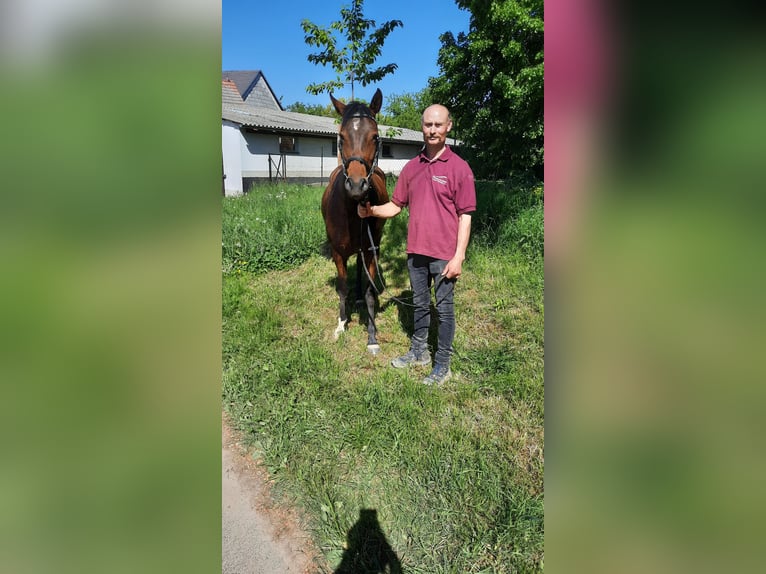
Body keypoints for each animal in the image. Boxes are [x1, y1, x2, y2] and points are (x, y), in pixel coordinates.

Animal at [320, 89, 390, 356]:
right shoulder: (337, 252)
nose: (358, 186)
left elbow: (371, 291)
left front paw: (371, 336)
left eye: (375, 136)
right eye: (341, 137)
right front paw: (341, 324)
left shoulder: (371, 249)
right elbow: (342, 287)